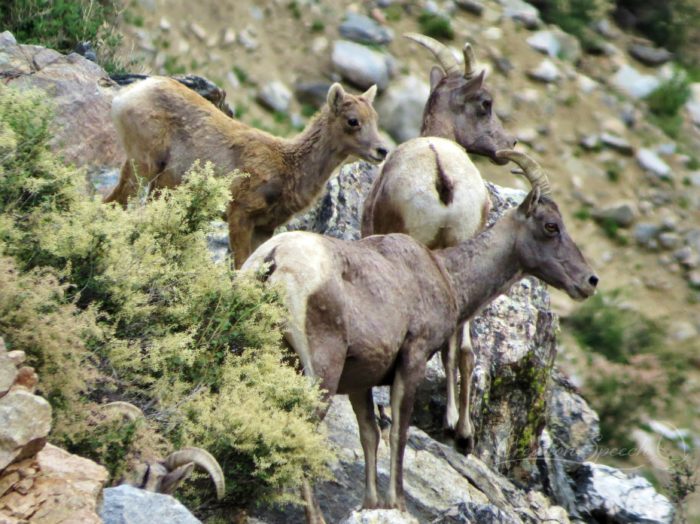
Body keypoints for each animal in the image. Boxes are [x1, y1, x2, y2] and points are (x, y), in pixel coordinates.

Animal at [104, 77, 388, 266]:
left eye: (375, 118)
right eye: (353, 120)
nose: (382, 150)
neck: (288, 167)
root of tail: (126, 96)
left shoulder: (264, 229)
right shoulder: (240, 213)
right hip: (143, 167)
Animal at [243, 151, 600, 520]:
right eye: (550, 226)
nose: (589, 281)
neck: (445, 274)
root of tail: (273, 261)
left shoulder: (359, 381)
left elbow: (370, 435)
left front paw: (371, 503)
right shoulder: (411, 360)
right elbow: (398, 433)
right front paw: (397, 503)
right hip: (321, 372)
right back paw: (316, 516)